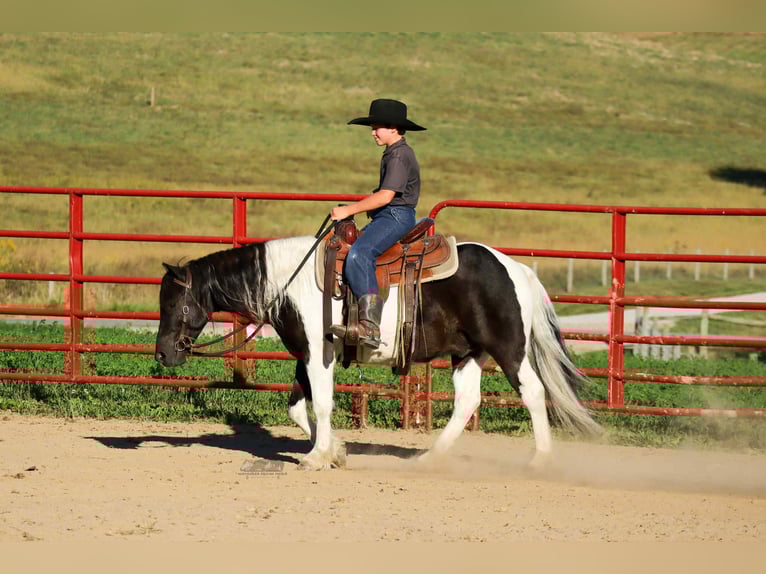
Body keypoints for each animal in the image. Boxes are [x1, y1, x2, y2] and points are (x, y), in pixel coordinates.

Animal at [154, 234, 601, 470]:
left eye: (176, 304)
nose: (162, 355)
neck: (290, 282)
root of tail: (516, 268)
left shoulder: (320, 353)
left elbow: (321, 404)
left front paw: (317, 456)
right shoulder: (304, 354)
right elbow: (298, 408)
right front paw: (335, 450)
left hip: (508, 347)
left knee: (533, 392)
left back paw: (539, 459)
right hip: (468, 353)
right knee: (467, 400)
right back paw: (429, 458)